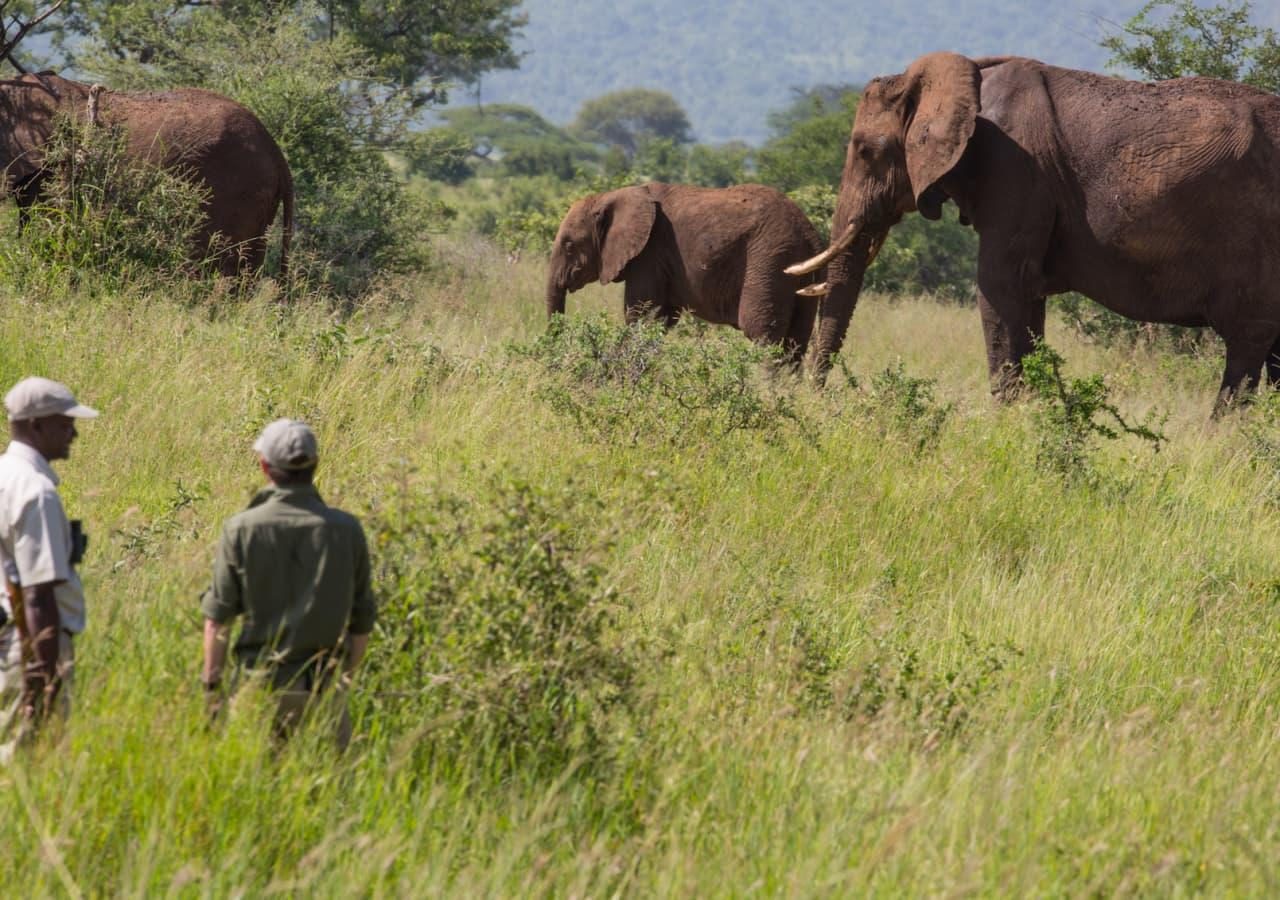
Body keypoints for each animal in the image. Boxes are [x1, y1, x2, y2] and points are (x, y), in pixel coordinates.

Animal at [547, 183, 855, 368]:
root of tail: (809, 232)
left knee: (762, 334)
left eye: (569, 245)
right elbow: (660, 321)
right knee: (796, 342)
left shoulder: (650, 254)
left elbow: (641, 317)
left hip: (770, 260)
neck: (614, 194)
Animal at [783, 51, 1280, 409]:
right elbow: (1027, 301)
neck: (966, 72)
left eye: (866, 151)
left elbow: (999, 287)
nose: (816, 399)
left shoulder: (1016, 170)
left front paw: (1006, 423)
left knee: (1247, 346)